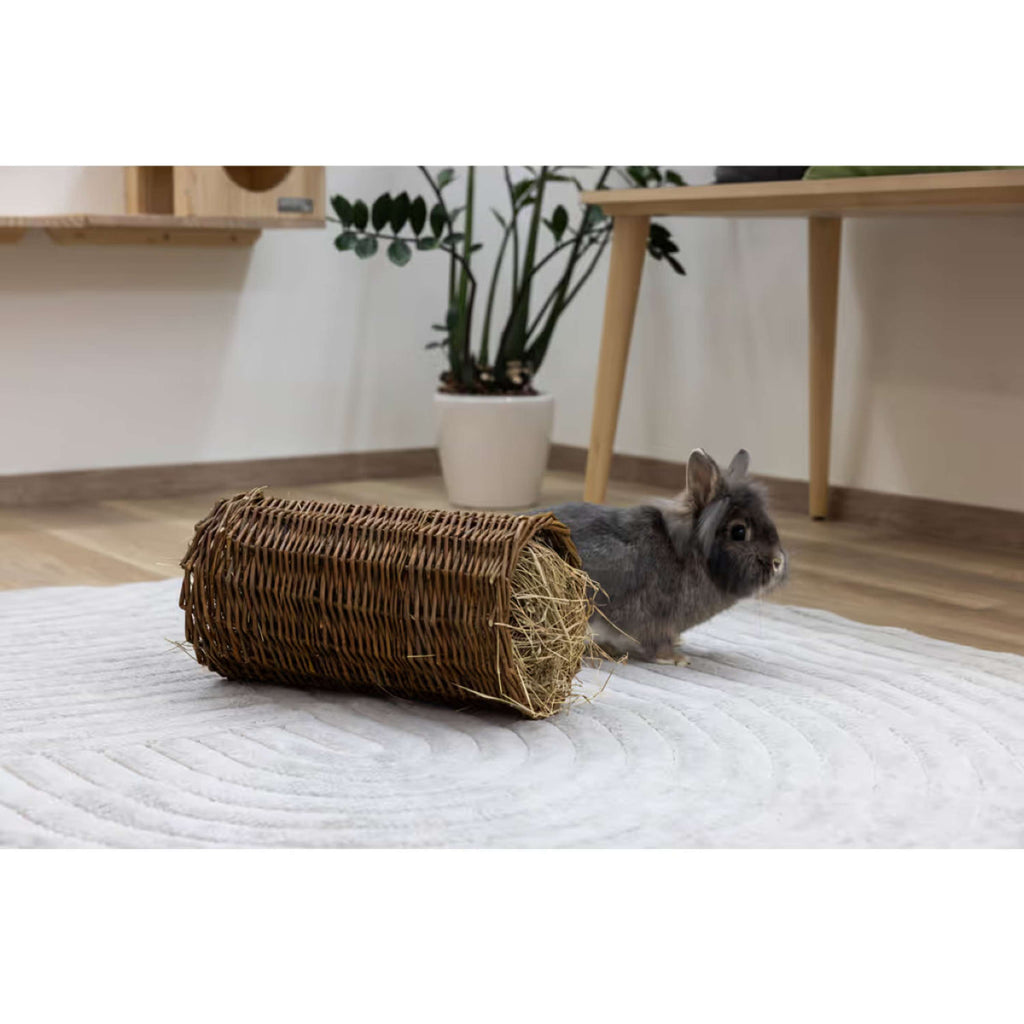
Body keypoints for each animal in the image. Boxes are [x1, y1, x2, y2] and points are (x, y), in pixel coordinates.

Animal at [539, 449, 787, 664]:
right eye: (739, 532)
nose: (778, 562)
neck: (692, 554)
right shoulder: (657, 621)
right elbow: (658, 643)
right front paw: (676, 659)